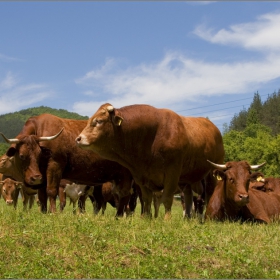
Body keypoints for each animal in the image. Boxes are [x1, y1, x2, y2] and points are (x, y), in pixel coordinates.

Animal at [0, 114, 133, 217]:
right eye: (22, 155)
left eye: (39, 154)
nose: (36, 178)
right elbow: (42, 196)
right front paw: (43, 213)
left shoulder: (55, 166)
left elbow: (51, 191)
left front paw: (53, 213)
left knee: (125, 197)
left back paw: (120, 217)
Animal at [75, 103, 224, 219]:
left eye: (99, 121)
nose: (78, 138)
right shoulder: (141, 177)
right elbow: (147, 199)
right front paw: (146, 217)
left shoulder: (172, 173)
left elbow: (167, 198)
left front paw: (167, 219)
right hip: (186, 179)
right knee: (188, 197)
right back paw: (187, 218)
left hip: (212, 171)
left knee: (209, 194)